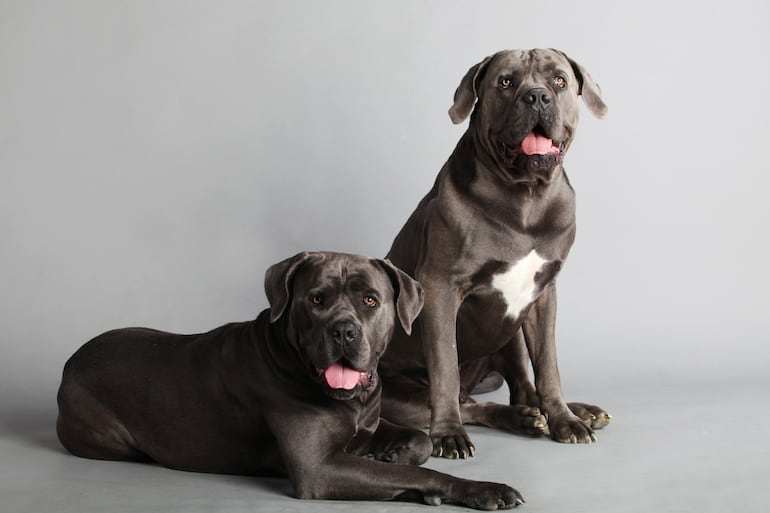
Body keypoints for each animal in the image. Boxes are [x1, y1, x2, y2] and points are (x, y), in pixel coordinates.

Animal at [54, 251, 520, 508]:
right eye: (316, 300)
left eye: (371, 300)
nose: (343, 331)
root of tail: (69, 362)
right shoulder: (320, 469)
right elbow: (423, 473)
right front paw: (477, 489)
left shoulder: (370, 423)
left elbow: (419, 440)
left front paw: (391, 456)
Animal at [376, 48, 608, 458]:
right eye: (505, 82)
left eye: (559, 81)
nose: (537, 97)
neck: (526, 194)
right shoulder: (440, 286)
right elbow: (446, 369)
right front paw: (448, 434)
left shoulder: (544, 295)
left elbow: (548, 366)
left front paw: (564, 419)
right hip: (398, 396)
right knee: (467, 403)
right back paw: (512, 418)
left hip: (510, 332)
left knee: (523, 388)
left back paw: (563, 411)